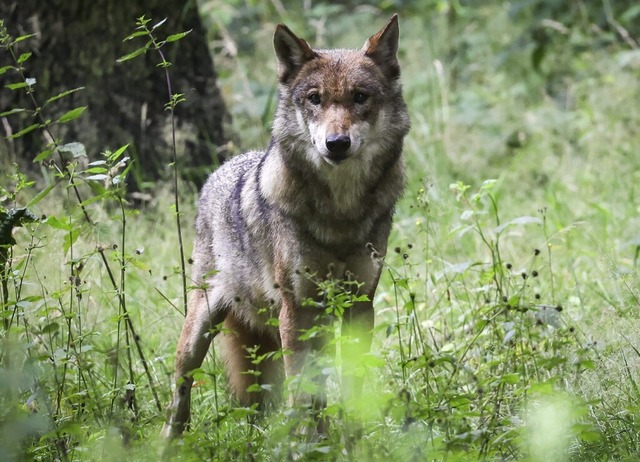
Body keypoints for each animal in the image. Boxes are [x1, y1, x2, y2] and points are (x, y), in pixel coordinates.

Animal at [160, 14, 410, 440]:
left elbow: (352, 383)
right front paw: (305, 443)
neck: (340, 212)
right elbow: (301, 390)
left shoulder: (360, 305)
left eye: (360, 97)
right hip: (199, 331)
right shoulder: (296, 308)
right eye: (314, 98)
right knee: (180, 394)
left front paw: (354, 439)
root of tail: (221, 169)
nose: (336, 143)